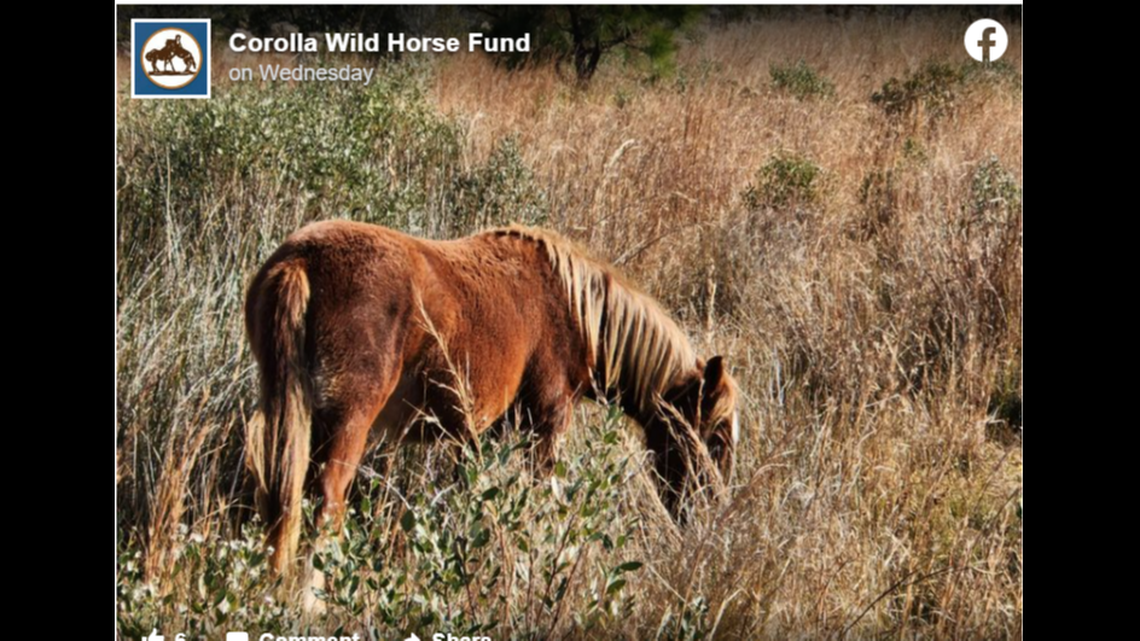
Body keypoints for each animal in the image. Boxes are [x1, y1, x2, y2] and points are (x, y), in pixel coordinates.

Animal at [244, 220, 740, 573]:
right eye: (715, 439)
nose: (712, 514)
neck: (576, 311)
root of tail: (299, 261)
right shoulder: (548, 421)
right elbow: (542, 493)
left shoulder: (475, 434)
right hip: (349, 421)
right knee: (326, 501)